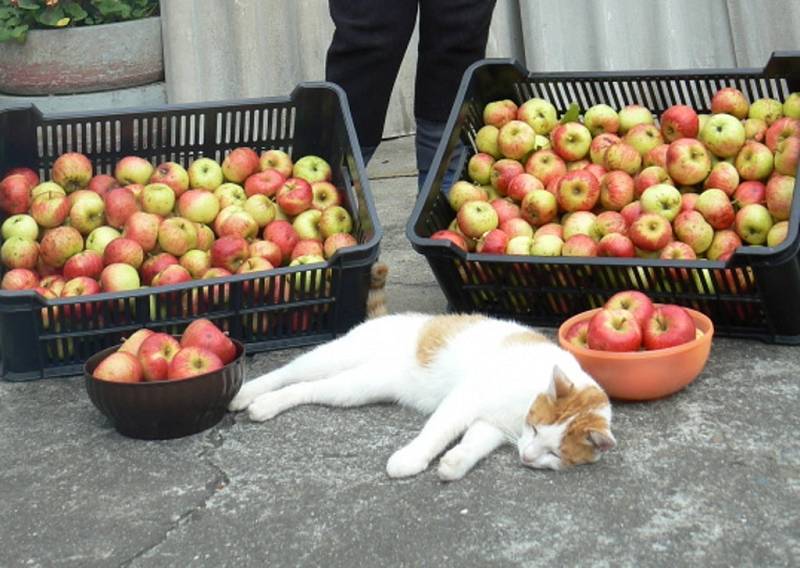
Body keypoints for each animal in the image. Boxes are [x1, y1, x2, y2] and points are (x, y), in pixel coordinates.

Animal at [228, 312, 616, 482]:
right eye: (536, 430)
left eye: (554, 453)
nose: (528, 456)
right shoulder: (465, 399)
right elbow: (437, 432)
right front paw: (411, 459)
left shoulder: (491, 424)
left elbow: (473, 443)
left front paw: (455, 463)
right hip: (337, 357)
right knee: (291, 374)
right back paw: (250, 395)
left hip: (358, 385)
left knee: (312, 388)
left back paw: (262, 403)